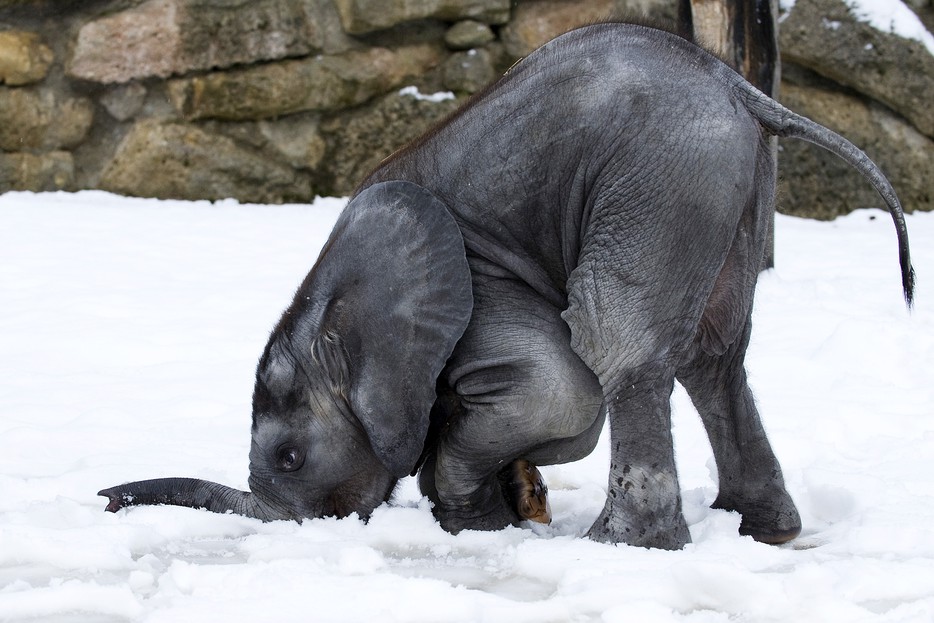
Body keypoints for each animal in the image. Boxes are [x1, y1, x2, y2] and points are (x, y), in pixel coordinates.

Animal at [100, 23, 916, 552]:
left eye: (292, 459)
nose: (104, 499)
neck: (328, 289)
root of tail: (743, 88)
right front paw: (514, 500)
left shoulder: (481, 288)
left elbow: (557, 394)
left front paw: (476, 522)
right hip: (724, 190)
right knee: (715, 356)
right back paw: (764, 529)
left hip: (661, 177)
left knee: (615, 342)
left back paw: (622, 547)